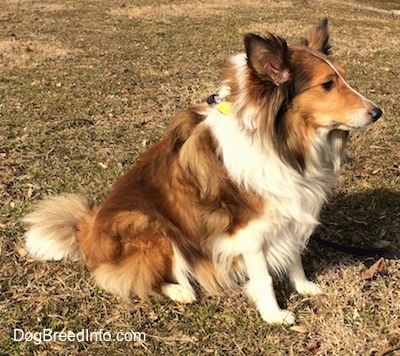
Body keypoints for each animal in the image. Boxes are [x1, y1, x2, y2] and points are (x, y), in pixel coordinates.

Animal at [24, 20, 382, 326]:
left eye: (343, 77)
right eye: (327, 84)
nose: (377, 112)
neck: (281, 142)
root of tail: (88, 229)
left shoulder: (289, 209)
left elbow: (294, 255)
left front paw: (303, 286)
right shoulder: (249, 231)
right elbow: (264, 276)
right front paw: (274, 315)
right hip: (152, 225)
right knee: (132, 277)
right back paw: (180, 290)